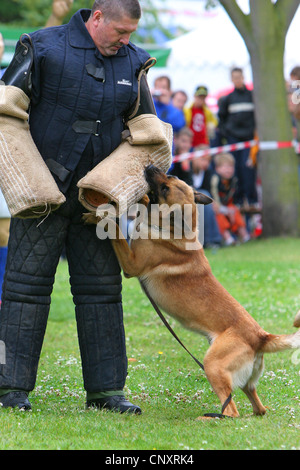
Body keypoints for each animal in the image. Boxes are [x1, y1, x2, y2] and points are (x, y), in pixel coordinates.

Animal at [91, 166, 300, 418]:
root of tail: (261, 336)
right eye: (171, 178)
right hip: (245, 381)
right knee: (258, 407)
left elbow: (117, 233)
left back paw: (208, 418)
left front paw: (102, 217)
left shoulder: (131, 264)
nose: (150, 167)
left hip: (213, 365)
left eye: (165, 188)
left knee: (231, 411)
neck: (174, 229)